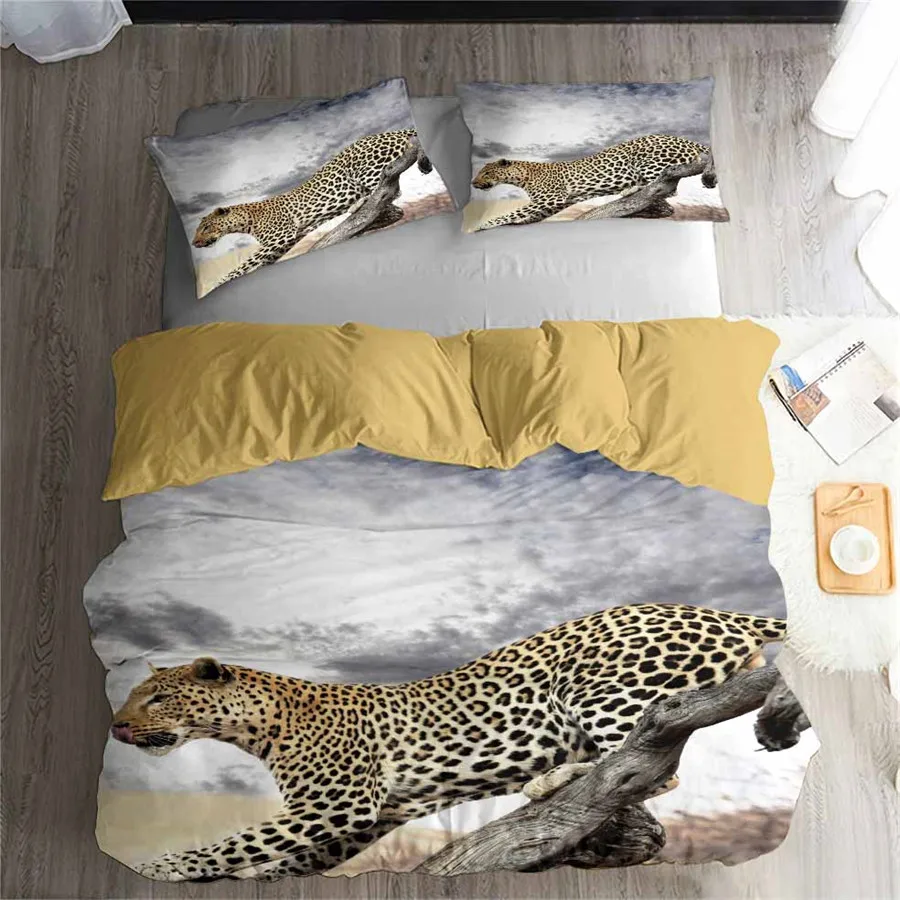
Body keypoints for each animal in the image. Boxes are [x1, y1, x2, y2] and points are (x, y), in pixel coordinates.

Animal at [110, 602, 786, 883]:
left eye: (157, 698)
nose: (117, 727)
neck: (258, 725)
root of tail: (713, 611)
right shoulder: (365, 818)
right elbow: (288, 856)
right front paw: (265, 878)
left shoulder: (336, 804)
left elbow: (233, 841)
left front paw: (157, 867)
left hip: (599, 685)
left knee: (651, 759)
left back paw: (549, 780)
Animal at [191, 129, 432, 289]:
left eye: (205, 227)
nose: (194, 243)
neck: (246, 220)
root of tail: (393, 131)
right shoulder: (281, 244)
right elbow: (255, 263)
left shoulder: (280, 236)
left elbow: (244, 264)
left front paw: (219, 282)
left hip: (366, 169)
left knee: (388, 188)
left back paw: (360, 203)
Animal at [470, 133, 716, 230]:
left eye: (486, 173)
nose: (473, 183)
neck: (522, 175)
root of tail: (683, 139)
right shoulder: (551, 204)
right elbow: (525, 216)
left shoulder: (550, 198)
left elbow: (513, 212)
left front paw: (482, 224)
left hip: (648, 160)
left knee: (666, 183)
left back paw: (631, 189)